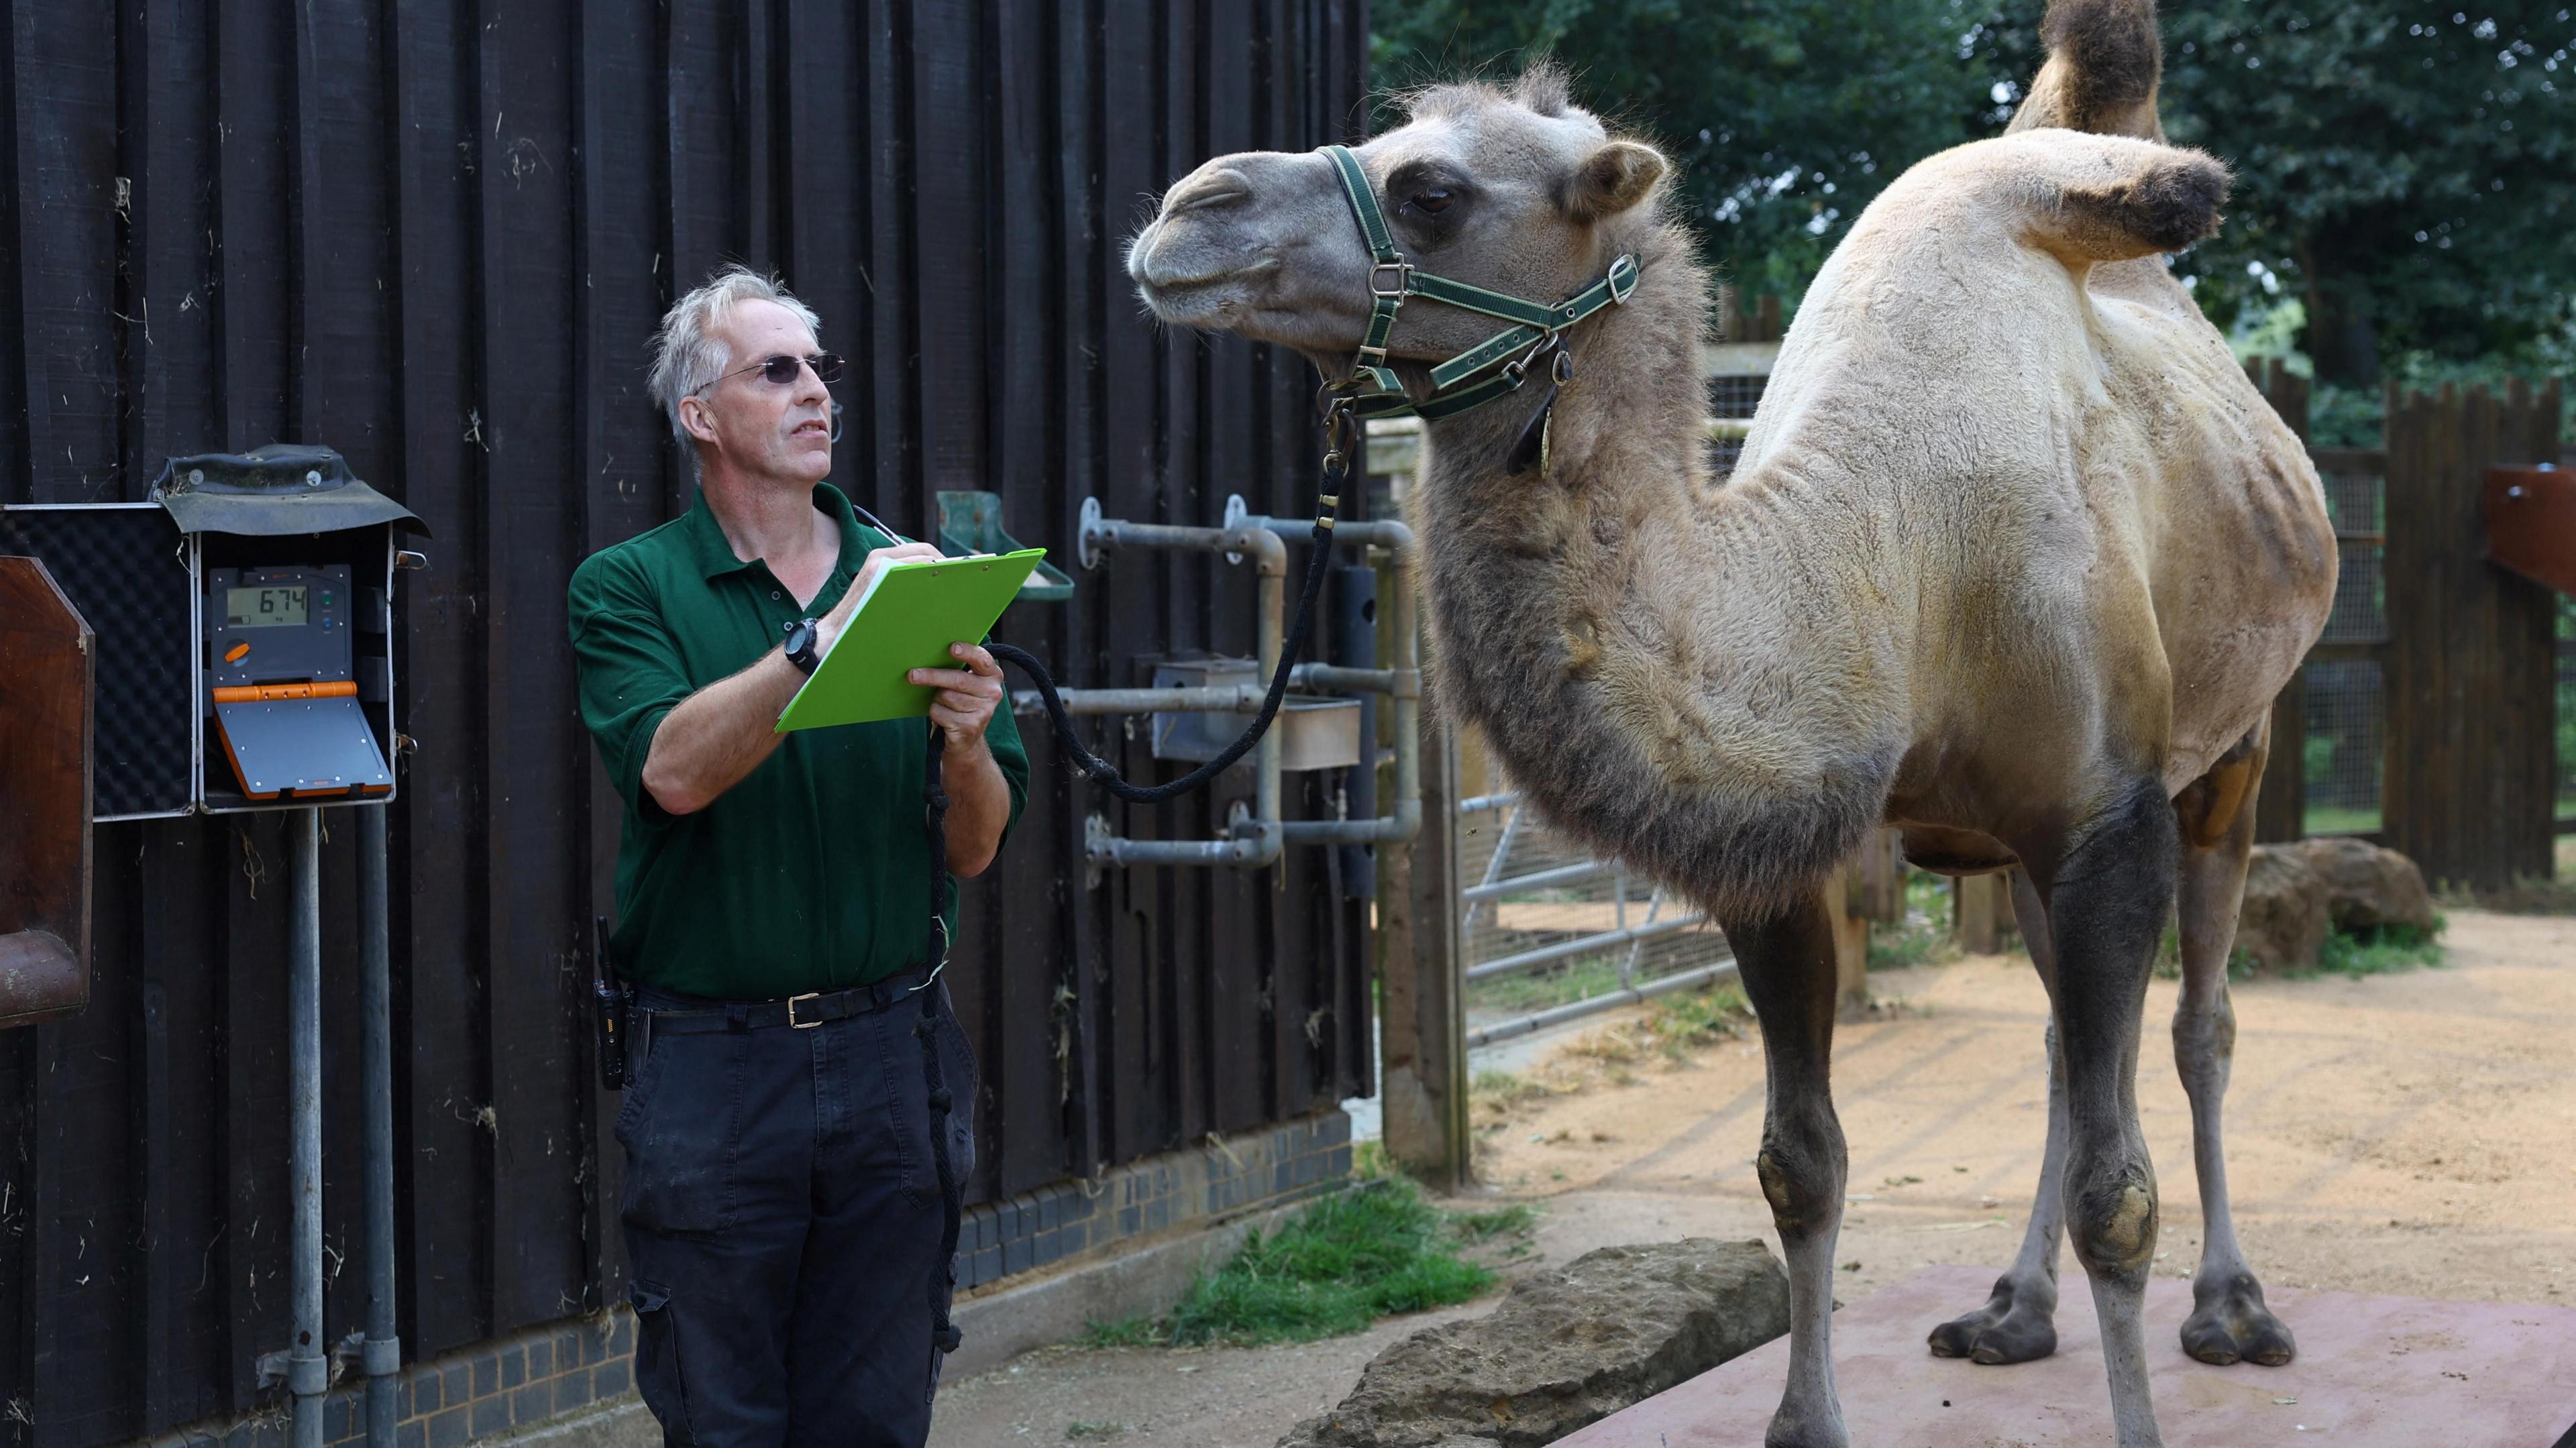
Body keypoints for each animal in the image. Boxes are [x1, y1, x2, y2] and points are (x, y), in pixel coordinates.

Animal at [1128, 3, 2339, 1432]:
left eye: (1432, 192)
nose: (1186, 209)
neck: (1897, 561)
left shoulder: (2106, 814)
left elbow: (2122, 1191)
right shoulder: (1789, 853)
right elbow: (1799, 1162)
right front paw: (1805, 1419)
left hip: (2231, 755)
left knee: (2204, 1022)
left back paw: (2234, 1308)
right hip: (2014, 843)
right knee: (2056, 1037)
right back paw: (2011, 1308)